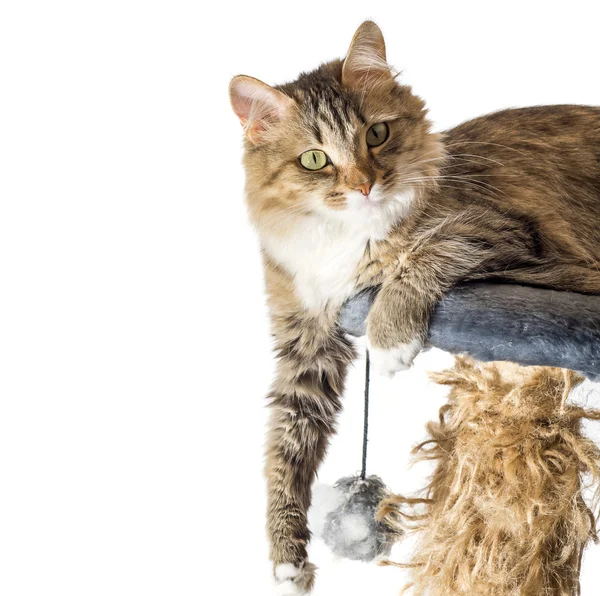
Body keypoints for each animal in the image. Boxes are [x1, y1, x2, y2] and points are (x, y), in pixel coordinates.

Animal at [227, 19, 600, 596]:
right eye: (315, 159)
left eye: (376, 135)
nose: (364, 185)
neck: (346, 237)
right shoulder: (305, 342)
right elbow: (284, 453)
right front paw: (287, 559)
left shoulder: (497, 232)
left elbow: (421, 257)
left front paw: (390, 340)